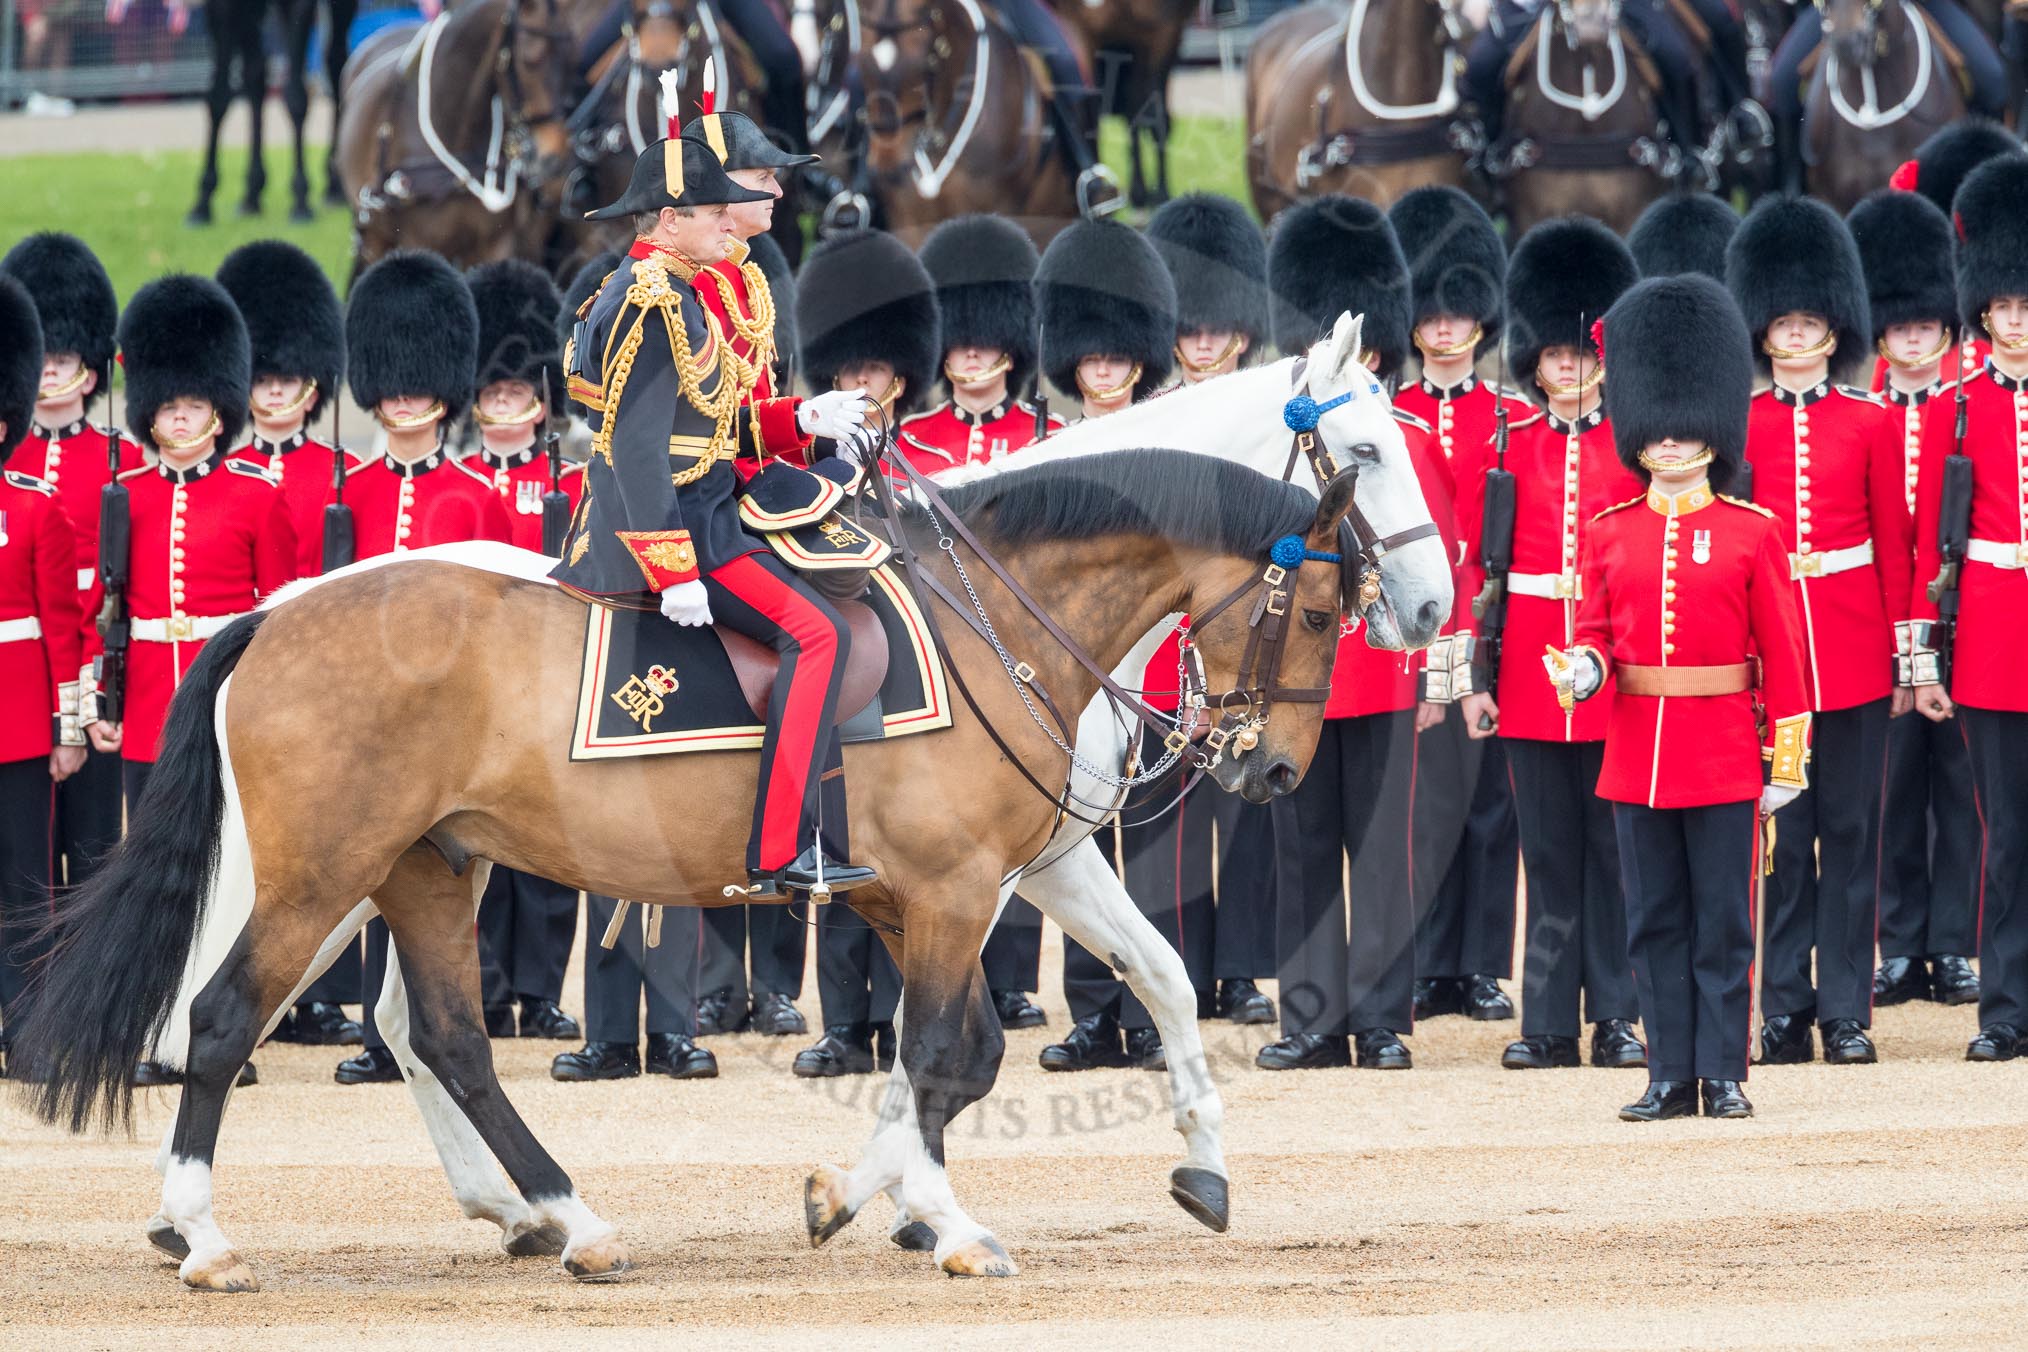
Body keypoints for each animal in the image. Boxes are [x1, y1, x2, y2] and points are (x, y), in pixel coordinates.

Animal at [13, 434, 1448, 1290]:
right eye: (1328, 604)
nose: (1273, 772)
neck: (997, 620)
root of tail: (277, 613)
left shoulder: (952, 888)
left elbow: (1005, 1039)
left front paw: (880, 1195)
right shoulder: (954, 891)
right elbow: (947, 1056)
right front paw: (947, 1222)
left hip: (424, 867)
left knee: (449, 1039)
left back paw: (562, 1217)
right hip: (324, 868)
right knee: (219, 1017)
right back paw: (204, 1232)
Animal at [188, 0, 359, 226]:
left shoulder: (299, 6)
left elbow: (296, 97)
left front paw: (301, 199)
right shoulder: (221, 8)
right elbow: (218, 98)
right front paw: (202, 202)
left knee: (336, 61)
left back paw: (335, 185)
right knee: (255, 71)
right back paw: (251, 195)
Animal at [335, 0, 579, 281]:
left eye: (571, 59)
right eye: (530, 60)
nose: (555, 157)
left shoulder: (496, 243)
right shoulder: (419, 241)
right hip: (374, 238)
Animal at [803, 314, 1460, 1256]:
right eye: (1367, 451)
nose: (1435, 609)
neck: (1013, 618)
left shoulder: (1043, 861)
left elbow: (1159, 976)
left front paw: (1203, 1165)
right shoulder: (967, 872)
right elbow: (928, 1035)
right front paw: (901, 1197)